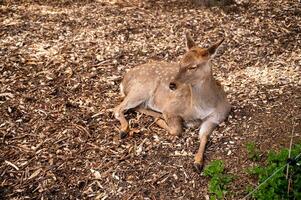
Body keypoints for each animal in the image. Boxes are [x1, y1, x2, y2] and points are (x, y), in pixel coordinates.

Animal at [112, 33, 230, 172]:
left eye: (193, 66)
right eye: (180, 62)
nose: (172, 84)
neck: (201, 108)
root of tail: (123, 81)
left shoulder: (216, 117)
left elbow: (204, 136)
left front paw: (198, 162)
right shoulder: (171, 108)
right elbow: (177, 130)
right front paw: (162, 121)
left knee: (134, 107)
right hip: (140, 89)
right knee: (117, 108)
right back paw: (124, 130)